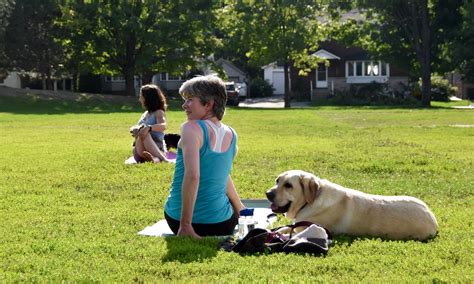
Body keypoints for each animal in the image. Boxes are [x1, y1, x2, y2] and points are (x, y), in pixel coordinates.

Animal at [264, 170, 438, 241]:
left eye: (288, 185)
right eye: (277, 180)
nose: (267, 193)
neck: (309, 201)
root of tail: (432, 217)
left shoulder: (305, 228)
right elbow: (282, 228)